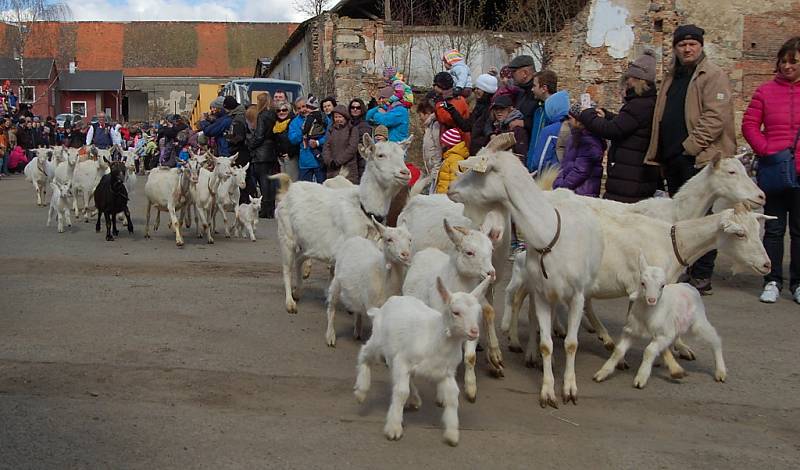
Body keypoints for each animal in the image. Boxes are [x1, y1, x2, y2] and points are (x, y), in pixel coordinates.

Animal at [324, 218, 412, 346]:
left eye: (410, 239)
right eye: (389, 239)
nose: (405, 254)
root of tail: (357, 238)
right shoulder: (372, 305)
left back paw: (357, 331)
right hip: (337, 280)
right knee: (332, 306)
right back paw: (330, 336)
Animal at [356, 278, 494, 446]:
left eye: (478, 313)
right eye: (456, 312)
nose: (474, 332)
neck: (435, 337)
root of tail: (389, 302)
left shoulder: (447, 372)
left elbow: (452, 396)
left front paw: (452, 433)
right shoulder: (403, 360)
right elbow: (401, 392)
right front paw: (393, 429)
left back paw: (414, 398)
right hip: (378, 341)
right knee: (365, 354)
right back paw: (361, 391)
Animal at [404, 218, 496, 402]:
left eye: (491, 249)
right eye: (469, 252)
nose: (492, 273)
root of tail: (430, 250)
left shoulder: (473, 325)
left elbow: (470, 357)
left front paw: (471, 389)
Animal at [592, 253, 728, 390]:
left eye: (662, 285)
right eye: (642, 283)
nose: (651, 300)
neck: (647, 315)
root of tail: (689, 286)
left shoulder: (664, 335)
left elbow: (649, 351)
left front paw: (641, 378)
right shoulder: (630, 332)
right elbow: (618, 351)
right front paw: (602, 373)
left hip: (699, 322)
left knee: (715, 340)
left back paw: (720, 372)